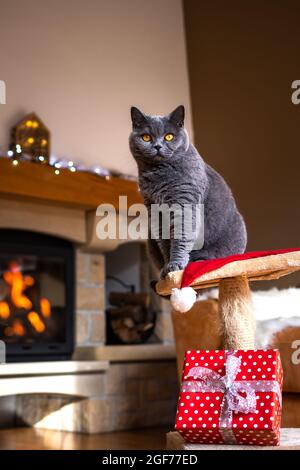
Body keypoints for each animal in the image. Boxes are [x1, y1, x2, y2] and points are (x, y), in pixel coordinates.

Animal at [129, 104, 246, 278]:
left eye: (169, 136)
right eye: (146, 137)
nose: (157, 146)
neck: (158, 176)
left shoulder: (185, 202)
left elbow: (181, 235)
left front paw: (176, 266)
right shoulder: (154, 209)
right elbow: (164, 242)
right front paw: (167, 270)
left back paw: (199, 260)